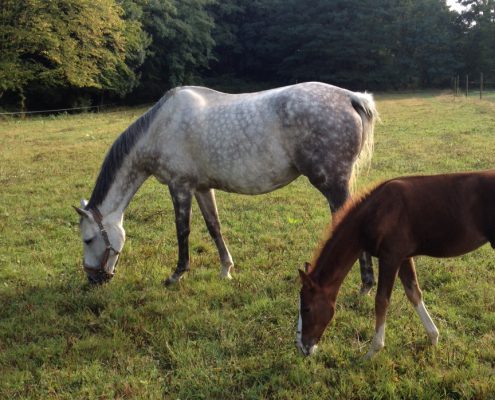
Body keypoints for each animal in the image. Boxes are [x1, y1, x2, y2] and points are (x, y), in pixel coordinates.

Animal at [73, 81, 378, 290]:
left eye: (88, 239)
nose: (92, 279)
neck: (160, 128)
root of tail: (351, 97)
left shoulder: (179, 186)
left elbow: (182, 231)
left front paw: (176, 274)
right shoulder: (201, 187)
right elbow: (214, 226)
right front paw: (226, 269)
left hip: (332, 183)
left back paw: (365, 285)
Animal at [296, 170, 495, 358]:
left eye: (306, 308)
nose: (303, 347)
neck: (377, 211)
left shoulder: (390, 257)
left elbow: (381, 300)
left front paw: (372, 351)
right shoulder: (404, 256)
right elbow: (414, 292)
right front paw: (433, 337)